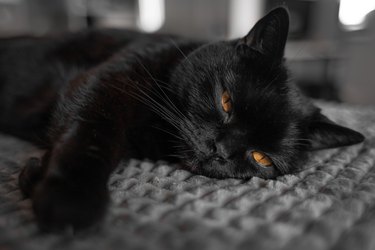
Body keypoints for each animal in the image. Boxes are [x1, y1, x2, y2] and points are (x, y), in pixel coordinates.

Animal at [0, 6, 364, 231]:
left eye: (262, 158)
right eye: (226, 101)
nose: (219, 149)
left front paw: (36, 177)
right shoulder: (106, 85)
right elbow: (91, 135)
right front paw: (70, 198)